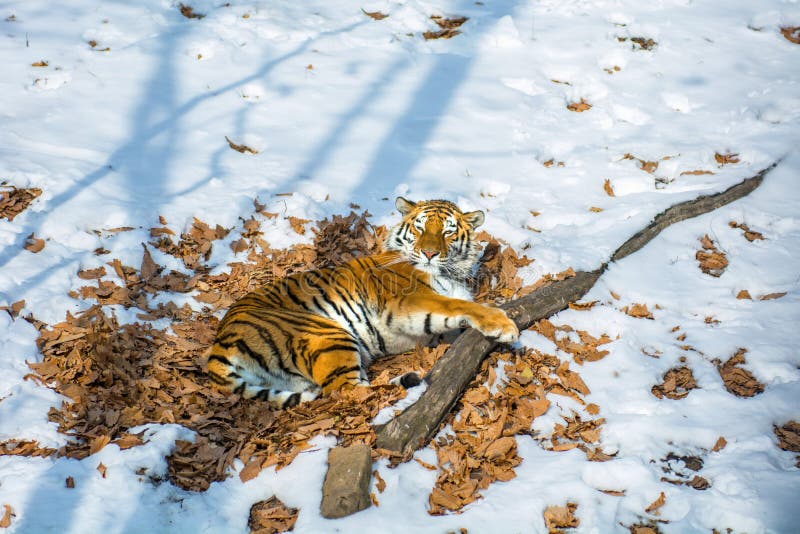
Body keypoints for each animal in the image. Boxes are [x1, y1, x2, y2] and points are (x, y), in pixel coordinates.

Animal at [206, 198, 520, 410]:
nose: (429, 253)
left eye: (447, 232)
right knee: (348, 393)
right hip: (327, 334)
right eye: (419, 229)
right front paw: (503, 325)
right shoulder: (409, 299)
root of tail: (220, 342)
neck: (450, 272)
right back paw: (407, 387)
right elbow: (455, 306)